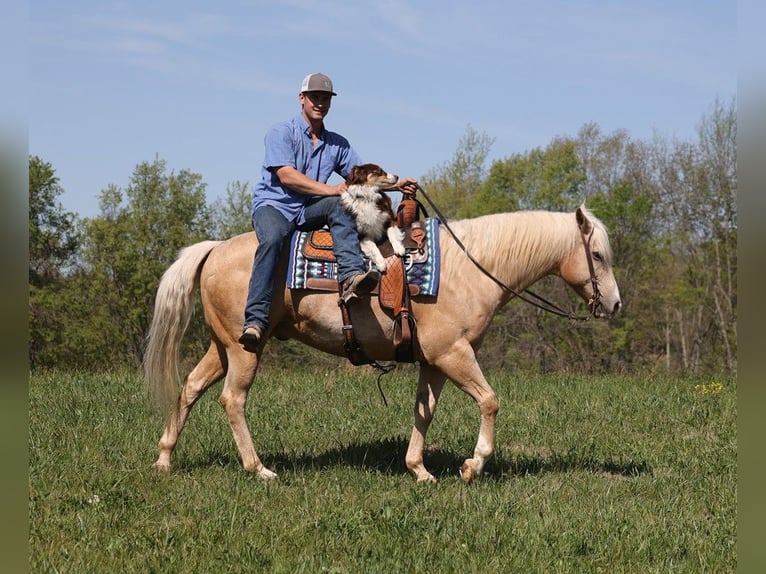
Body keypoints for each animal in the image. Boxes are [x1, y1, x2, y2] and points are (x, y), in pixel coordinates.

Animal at [146, 207, 624, 486]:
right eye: (598, 255)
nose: (615, 304)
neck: (470, 268)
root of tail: (214, 249)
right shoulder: (454, 353)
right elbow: (490, 401)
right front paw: (472, 467)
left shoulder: (435, 361)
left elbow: (424, 412)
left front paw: (420, 470)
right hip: (246, 348)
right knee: (232, 399)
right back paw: (258, 468)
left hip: (224, 345)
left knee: (190, 388)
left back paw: (165, 458)